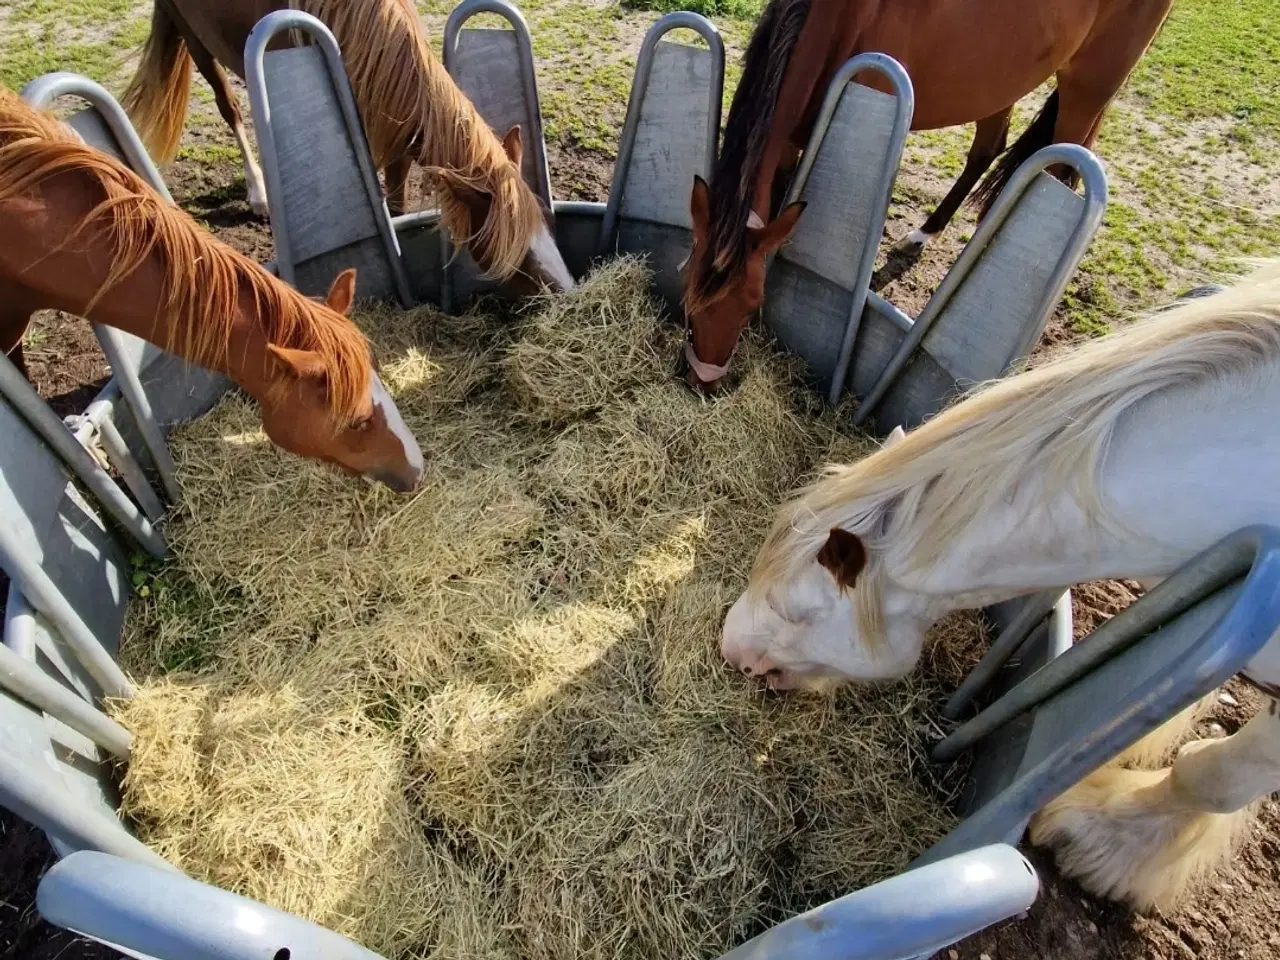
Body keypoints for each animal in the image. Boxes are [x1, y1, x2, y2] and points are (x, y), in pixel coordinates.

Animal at [120, 0, 576, 295]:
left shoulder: (398, 141)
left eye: (547, 221)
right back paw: (258, 193)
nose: (566, 293)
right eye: (510, 254)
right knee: (228, 106)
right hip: (194, 37)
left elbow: (397, 206)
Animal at [686, 0, 1172, 391]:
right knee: (987, 149)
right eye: (688, 282)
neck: (840, 17)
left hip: (1090, 88)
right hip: (996, 84)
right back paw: (929, 232)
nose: (703, 383)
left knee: (1065, 164)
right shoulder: (789, 140)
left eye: (752, 302)